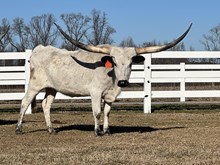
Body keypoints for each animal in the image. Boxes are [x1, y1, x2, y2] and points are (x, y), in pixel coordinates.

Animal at [15, 23, 192, 137]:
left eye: (131, 63)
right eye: (114, 62)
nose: (123, 82)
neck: (112, 79)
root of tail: (40, 48)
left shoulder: (110, 95)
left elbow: (107, 112)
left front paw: (107, 130)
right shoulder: (95, 92)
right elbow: (97, 111)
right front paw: (97, 131)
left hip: (52, 88)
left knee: (46, 105)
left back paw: (51, 129)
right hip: (35, 84)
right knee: (24, 102)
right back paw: (18, 128)